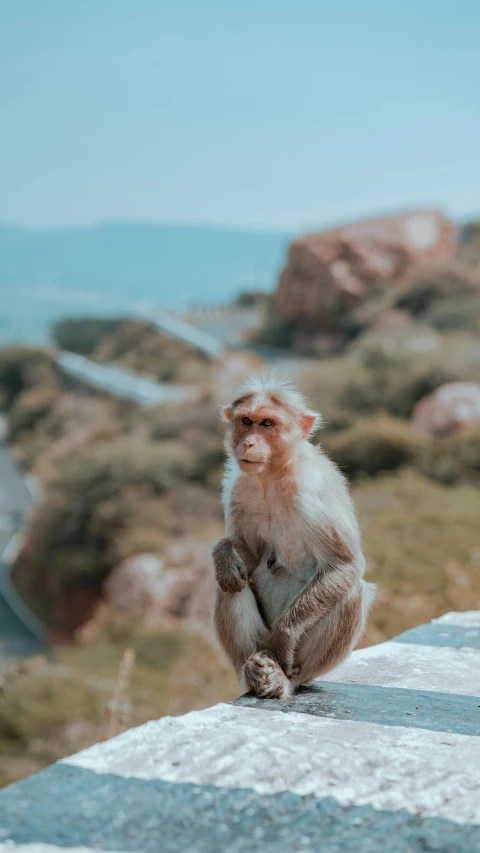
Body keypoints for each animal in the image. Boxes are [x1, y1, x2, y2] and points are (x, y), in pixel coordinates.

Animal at [212, 372, 376, 700]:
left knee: (352, 591)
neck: (272, 476)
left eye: (267, 423)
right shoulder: (238, 488)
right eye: (246, 421)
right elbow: (247, 556)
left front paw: (284, 637)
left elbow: (344, 565)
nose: (249, 442)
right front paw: (224, 554)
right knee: (230, 584)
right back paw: (252, 671)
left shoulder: (312, 493)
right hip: (258, 639)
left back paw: (283, 678)